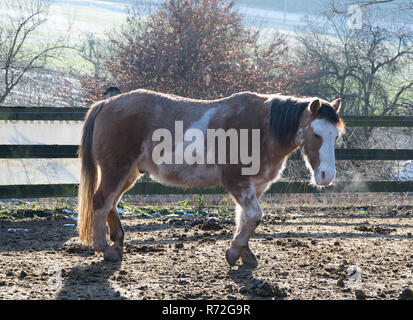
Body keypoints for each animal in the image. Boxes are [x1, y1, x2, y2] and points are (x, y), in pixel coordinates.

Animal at [77, 89, 344, 266]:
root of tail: (105, 103)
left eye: (336, 136)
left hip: (128, 173)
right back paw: (105, 249)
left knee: (111, 203)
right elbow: (254, 216)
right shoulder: (237, 181)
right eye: (316, 133)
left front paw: (245, 254)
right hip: (116, 170)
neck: (262, 129)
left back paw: (117, 244)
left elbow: (245, 218)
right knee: (101, 201)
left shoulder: (255, 185)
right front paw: (233, 253)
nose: (326, 176)